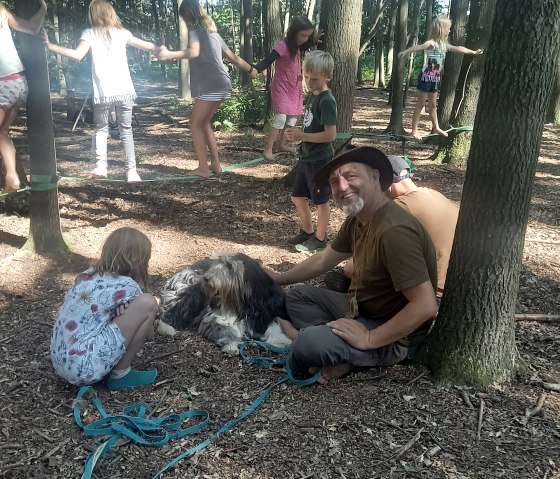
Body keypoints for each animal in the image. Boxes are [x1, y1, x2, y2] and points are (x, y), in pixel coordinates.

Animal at [156, 253, 290, 354]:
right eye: (219, 262)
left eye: (230, 266)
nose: (206, 278)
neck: (243, 305)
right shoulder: (215, 317)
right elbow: (226, 329)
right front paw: (231, 344)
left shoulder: (266, 314)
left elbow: (274, 325)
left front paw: (281, 340)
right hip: (192, 290)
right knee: (170, 312)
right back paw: (167, 328)